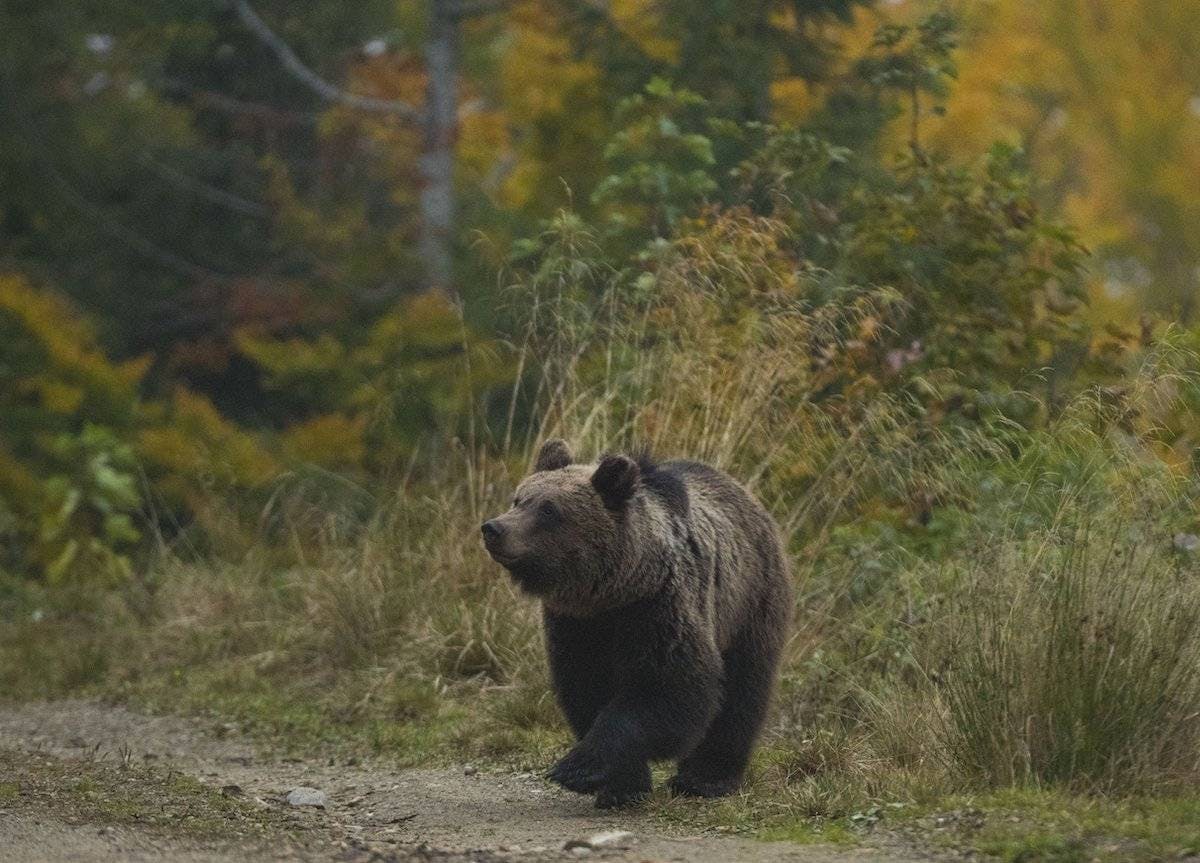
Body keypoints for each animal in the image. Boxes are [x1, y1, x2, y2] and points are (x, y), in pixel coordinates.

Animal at [482, 439, 792, 811]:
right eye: (519, 499)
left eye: (548, 510)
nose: (494, 528)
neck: (613, 593)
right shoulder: (576, 626)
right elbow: (586, 689)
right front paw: (621, 785)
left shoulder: (658, 609)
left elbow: (667, 688)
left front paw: (577, 768)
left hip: (748, 603)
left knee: (742, 691)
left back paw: (707, 777)